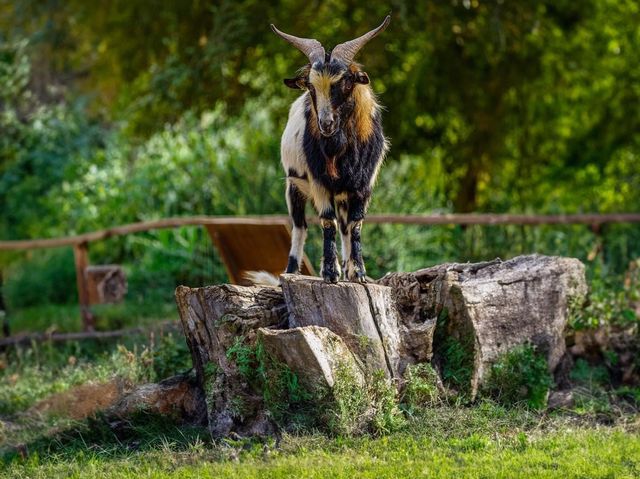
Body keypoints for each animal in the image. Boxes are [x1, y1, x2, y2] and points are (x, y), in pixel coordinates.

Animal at [272, 16, 390, 284]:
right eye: (311, 87)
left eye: (345, 82)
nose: (326, 124)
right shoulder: (319, 182)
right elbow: (328, 222)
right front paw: (329, 273)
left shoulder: (363, 186)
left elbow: (355, 225)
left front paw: (358, 273)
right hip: (294, 185)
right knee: (300, 226)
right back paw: (292, 271)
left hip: (342, 193)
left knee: (344, 226)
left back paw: (347, 268)